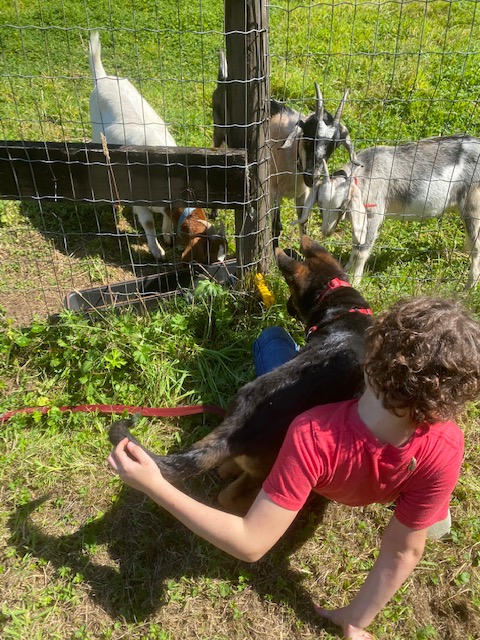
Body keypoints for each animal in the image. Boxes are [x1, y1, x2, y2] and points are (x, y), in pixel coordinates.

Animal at [89, 31, 225, 263]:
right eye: (209, 258)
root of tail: (103, 78)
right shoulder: (139, 198)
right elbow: (148, 223)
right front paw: (158, 252)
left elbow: (166, 219)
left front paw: (168, 237)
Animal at [109, 236, 373, 514]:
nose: (287, 307)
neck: (340, 306)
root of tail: (236, 425)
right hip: (267, 467)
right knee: (233, 495)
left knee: (230, 471)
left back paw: (227, 468)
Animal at [211, 50, 358, 240]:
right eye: (307, 137)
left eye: (333, 146)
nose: (312, 176)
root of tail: (224, 79)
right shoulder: (274, 191)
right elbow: (276, 227)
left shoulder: (302, 195)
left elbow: (303, 224)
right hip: (219, 132)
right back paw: (214, 212)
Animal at [309, 135, 480, 288]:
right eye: (320, 205)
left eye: (342, 205)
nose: (326, 231)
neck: (366, 172)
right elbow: (355, 243)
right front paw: (346, 268)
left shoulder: (373, 215)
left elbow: (361, 250)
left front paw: (355, 282)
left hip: (472, 207)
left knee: (477, 246)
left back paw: (468, 287)